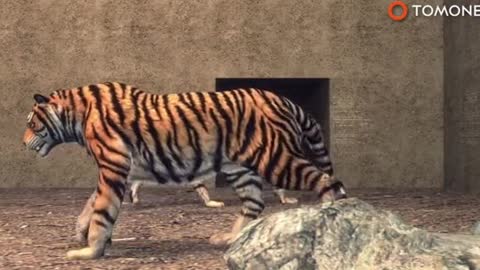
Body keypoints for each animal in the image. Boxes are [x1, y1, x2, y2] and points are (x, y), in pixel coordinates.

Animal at [22, 81, 346, 260]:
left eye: (32, 123)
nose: (23, 143)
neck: (76, 117)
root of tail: (284, 99)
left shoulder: (113, 167)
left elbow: (102, 211)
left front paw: (90, 251)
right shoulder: (119, 170)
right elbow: (91, 204)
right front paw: (81, 231)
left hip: (275, 159)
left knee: (326, 180)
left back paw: (331, 224)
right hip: (240, 168)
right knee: (254, 202)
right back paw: (230, 238)